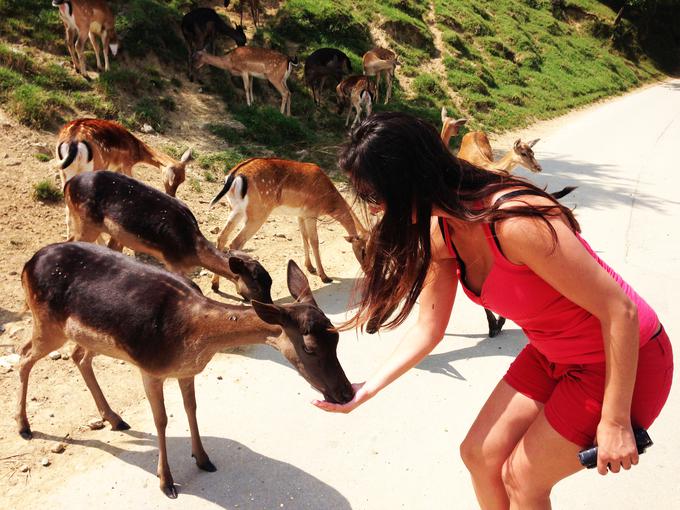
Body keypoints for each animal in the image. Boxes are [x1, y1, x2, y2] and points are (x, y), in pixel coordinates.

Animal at [17, 243, 356, 498]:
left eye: (337, 337)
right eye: (309, 348)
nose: (345, 393)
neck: (192, 334)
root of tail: (28, 263)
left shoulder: (187, 370)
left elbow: (191, 408)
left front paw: (203, 459)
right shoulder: (150, 369)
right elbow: (162, 420)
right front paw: (166, 482)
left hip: (84, 336)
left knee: (78, 356)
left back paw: (114, 418)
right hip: (47, 323)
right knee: (23, 356)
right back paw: (24, 426)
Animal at [65, 173, 274, 304]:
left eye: (270, 282)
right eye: (256, 286)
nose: (269, 305)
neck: (192, 250)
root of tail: (69, 184)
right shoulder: (173, 262)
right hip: (86, 221)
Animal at [210, 158, 370, 286]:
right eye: (363, 249)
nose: (367, 269)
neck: (327, 201)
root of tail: (234, 176)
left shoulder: (300, 215)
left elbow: (304, 238)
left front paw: (310, 267)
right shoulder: (311, 214)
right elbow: (314, 241)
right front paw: (325, 277)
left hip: (235, 210)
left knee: (222, 237)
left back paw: (215, 284)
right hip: (257, 214)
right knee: (235, 243)